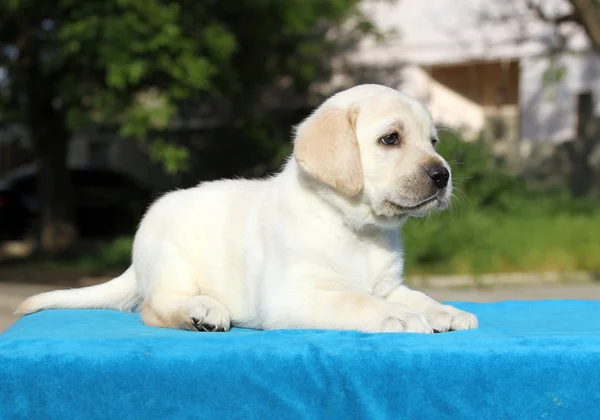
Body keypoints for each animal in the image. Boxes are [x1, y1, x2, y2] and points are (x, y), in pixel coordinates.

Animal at [17, 84, 478, 334]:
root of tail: (135, 262)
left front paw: (447, 311)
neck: (355, 227)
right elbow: (358, 302)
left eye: (433, 142)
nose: (442, 175)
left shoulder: (388, 285)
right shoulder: (293, 296)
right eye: (390, 139)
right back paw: (200, 311)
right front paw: (398, 317)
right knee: (153, 308)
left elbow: (417, 296)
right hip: (170, 262)